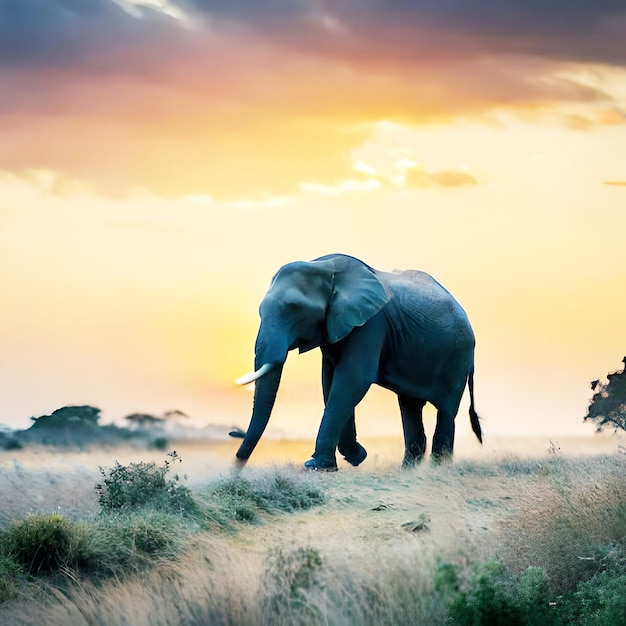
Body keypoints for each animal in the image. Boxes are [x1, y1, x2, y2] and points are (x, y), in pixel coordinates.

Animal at [232, 252, 480, 468]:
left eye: (295, 307)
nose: (233, 433)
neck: (325, 267)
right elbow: (331, 380)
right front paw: (355, 457)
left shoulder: (372, 323)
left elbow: (352, 379)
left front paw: (317, 465)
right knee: (410, 406)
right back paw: (409, 471)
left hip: (459, 356)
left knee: (445, 409)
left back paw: (438, 469)